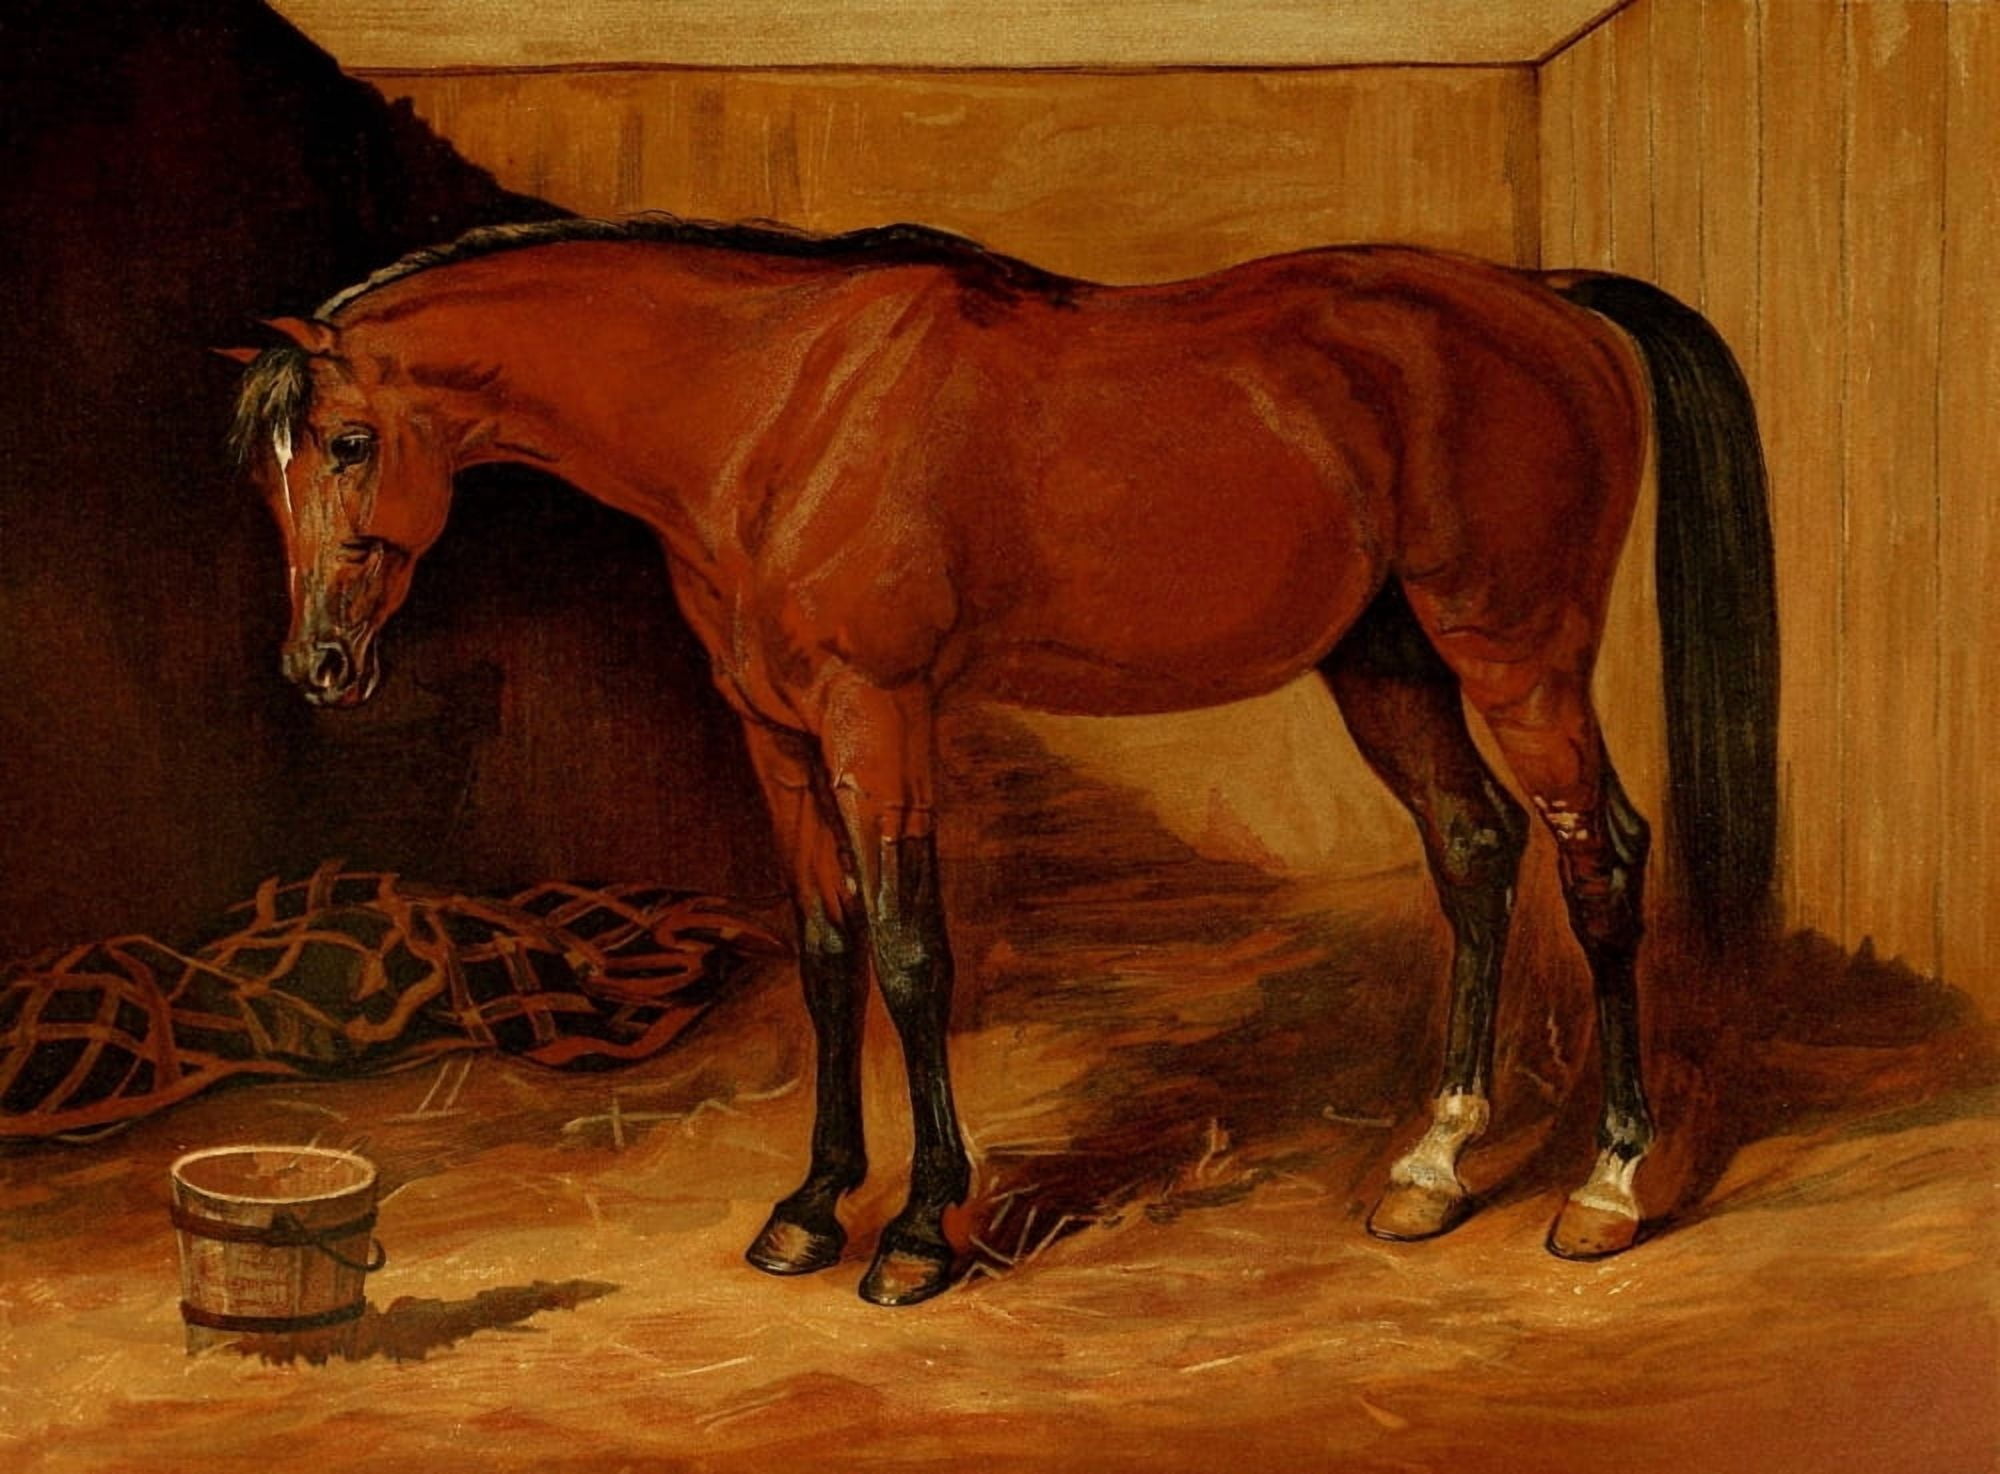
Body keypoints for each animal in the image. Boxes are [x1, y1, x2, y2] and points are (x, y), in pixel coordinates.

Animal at [222, 214, 1776, 1307]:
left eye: (349, 442)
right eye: (269, 472)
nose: (319, 667)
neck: (773, 406)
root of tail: (1550, 296)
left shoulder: (879, 713)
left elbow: (914, 955)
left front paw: (917, 1231)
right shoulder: (777, 733)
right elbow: (828, 951)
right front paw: (809, 1207)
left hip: (1515, 655)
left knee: (1599, 862)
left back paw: (1608, 1190)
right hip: (1388, 665)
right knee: (1474, 853)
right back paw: (1433, 1167)